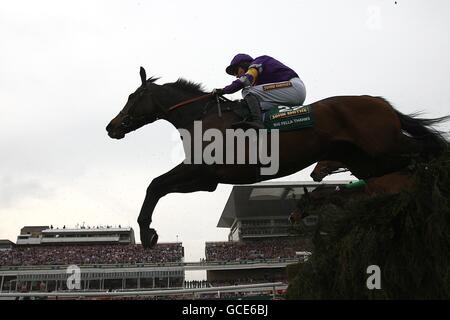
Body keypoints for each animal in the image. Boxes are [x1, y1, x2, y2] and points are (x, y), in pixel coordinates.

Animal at [106, 67, 450, 248]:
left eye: (133, 97)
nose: (111, 127)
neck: (202, 117)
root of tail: (380, 101)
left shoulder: (202, 171)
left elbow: (155, 185)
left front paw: (147, 232)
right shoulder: (207, 179)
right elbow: (158, 185)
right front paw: (148, 232)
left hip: (382, 147)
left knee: (428, 149)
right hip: (369, 160)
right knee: (415, 156)